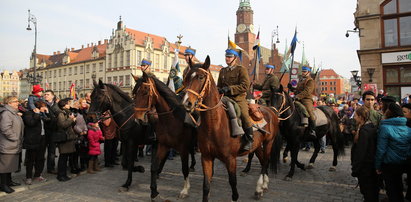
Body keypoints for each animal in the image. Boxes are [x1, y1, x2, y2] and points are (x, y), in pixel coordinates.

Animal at [132, 72, 196, 200]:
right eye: (134, 94)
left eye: (145, 92)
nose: (138, 119)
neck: (172, 119)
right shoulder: (163, 145)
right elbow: (154, 166)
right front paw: (153, 191)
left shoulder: (183, 148)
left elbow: (184, 168)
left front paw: (185, 190)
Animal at [183, 56, 280, 201]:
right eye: (187, 77)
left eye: (200, 77)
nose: (186, 102)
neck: (215, 124)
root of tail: (271, 111)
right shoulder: (206, 157)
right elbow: (206, 186)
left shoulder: (230, 159)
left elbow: (233, 185)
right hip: (257, 146)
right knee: (263, 161)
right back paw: (264, 185)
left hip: (269, 142)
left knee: (265, 162)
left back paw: (259, 188)